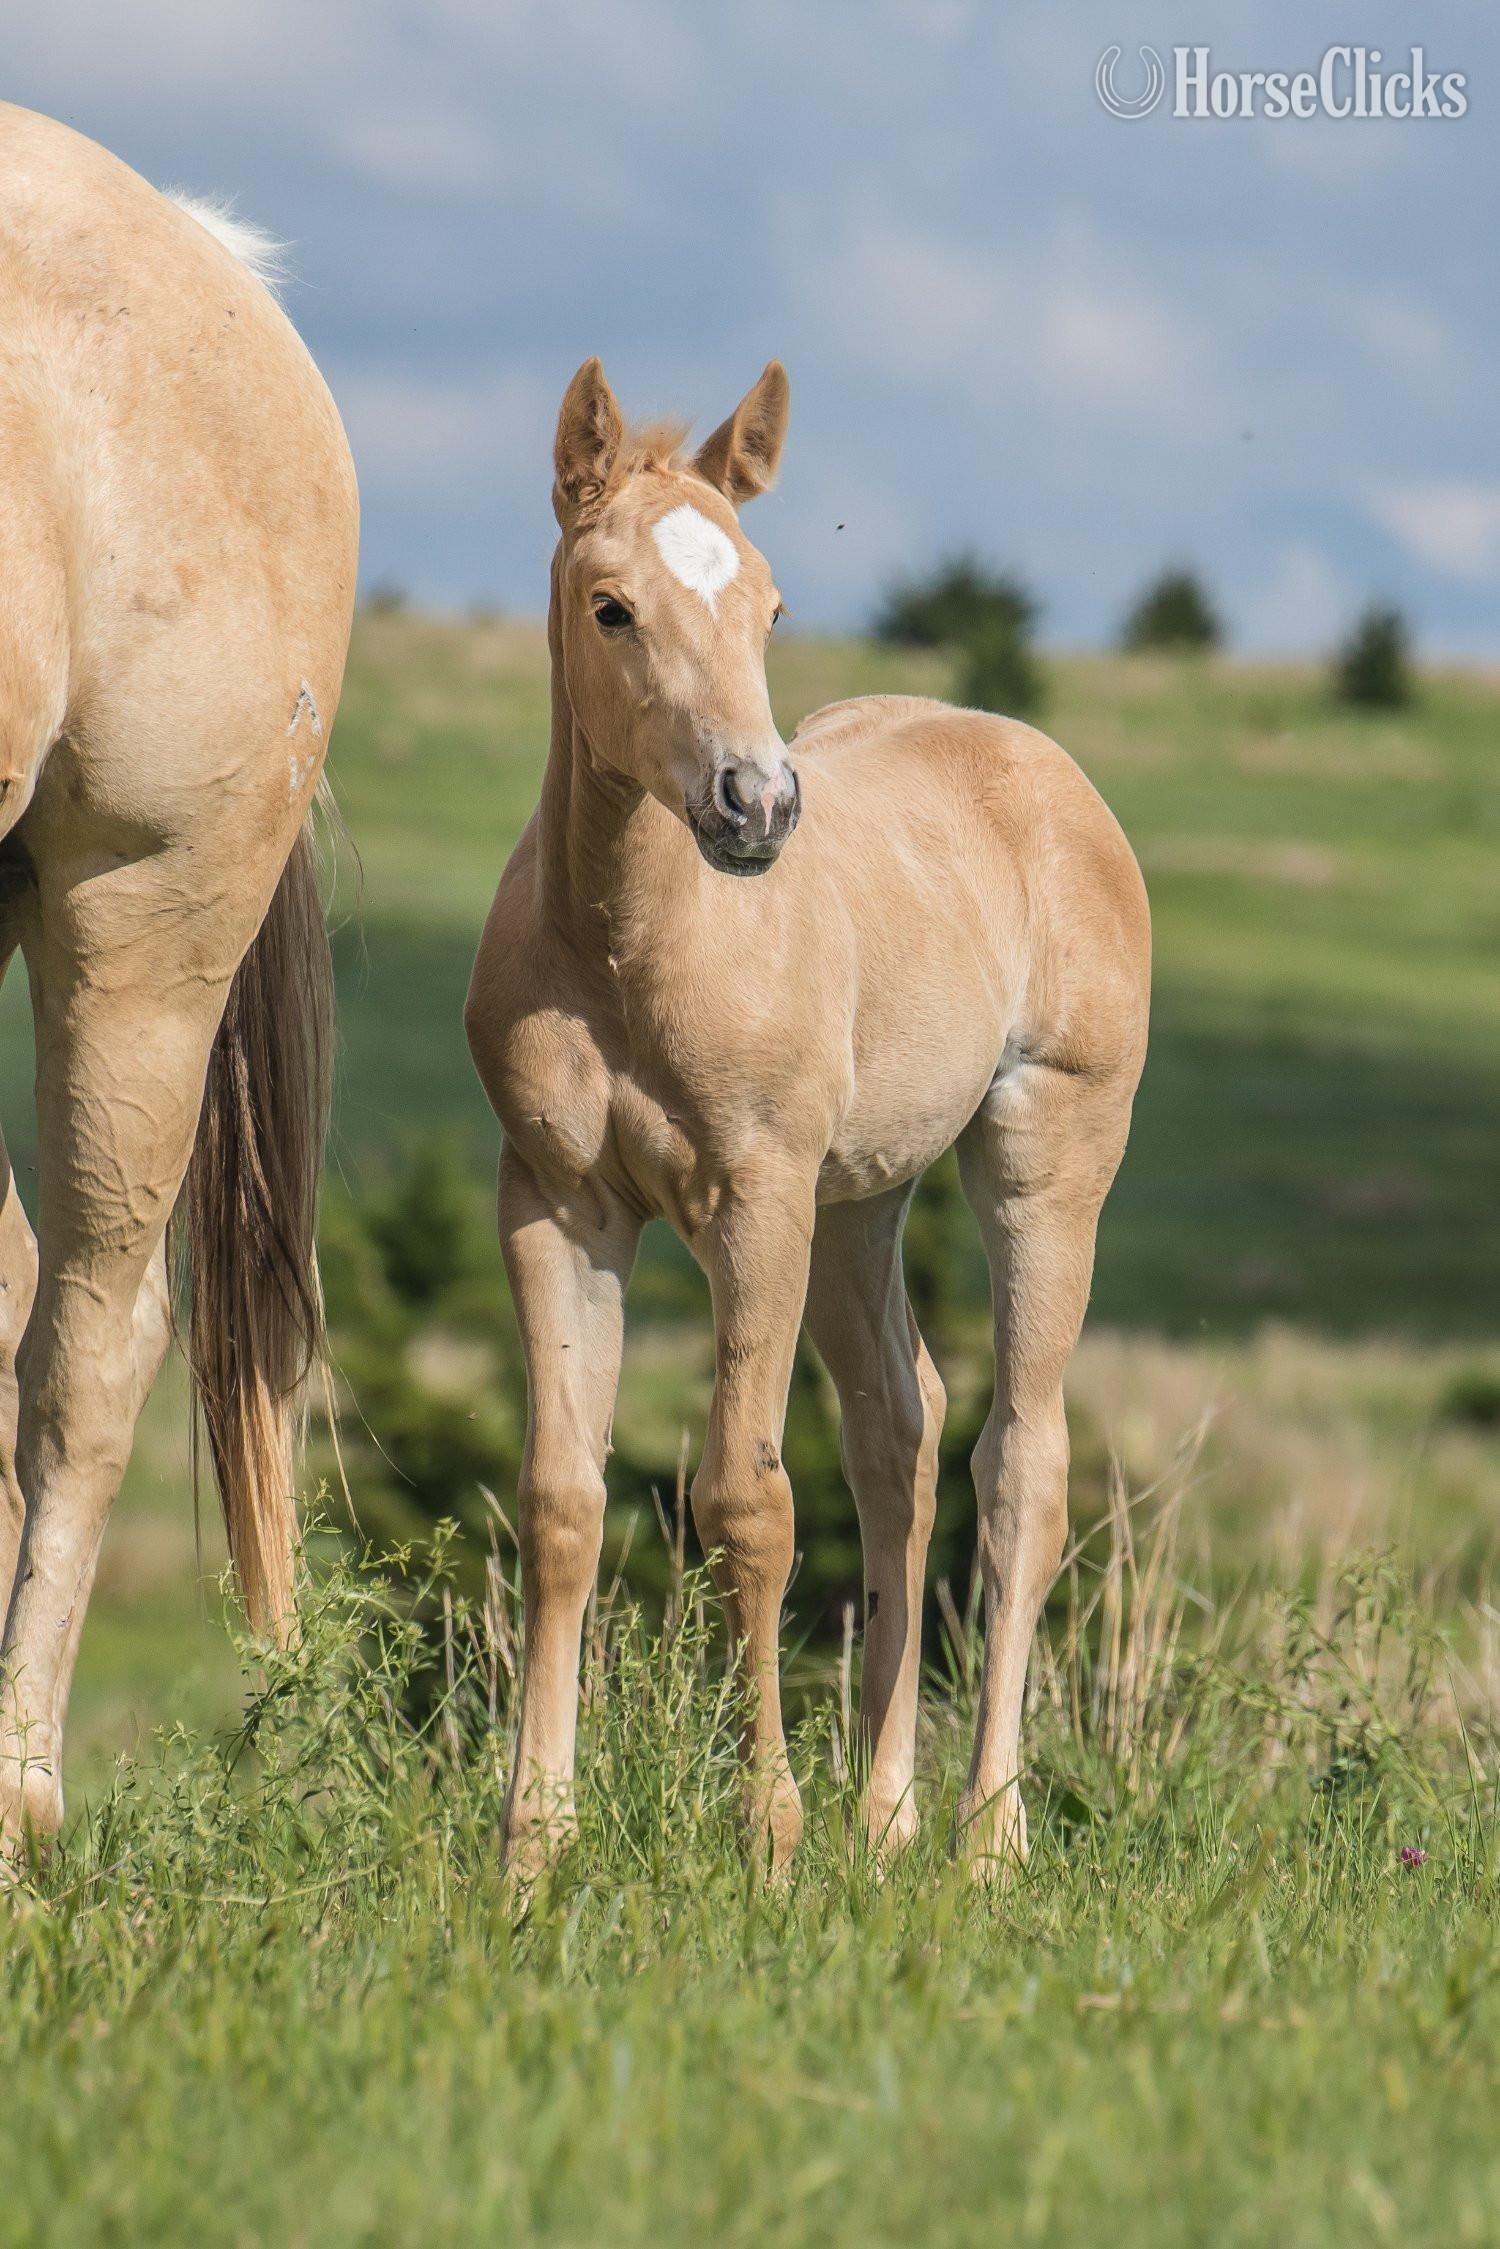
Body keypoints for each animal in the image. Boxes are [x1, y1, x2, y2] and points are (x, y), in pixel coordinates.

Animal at [465, 356, 1151, 1881]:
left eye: (770, 607)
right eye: (612, 605)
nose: (758, 804)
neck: (632, 945)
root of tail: (1041, 765)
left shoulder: (756, 1203)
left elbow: (748, 1499)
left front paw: (767, 1834)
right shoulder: (556, 1203)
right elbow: (562, 1499)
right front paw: (532, 1845)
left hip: (1043, 1159)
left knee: (1022, 1461)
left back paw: (987, 1837)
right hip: (860, 1201)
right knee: (903, 1431)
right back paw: (885, 1824)